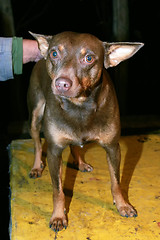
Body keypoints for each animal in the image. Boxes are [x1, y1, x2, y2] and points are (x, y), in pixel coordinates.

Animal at [27, 31, 144, 232]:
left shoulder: (113, 148)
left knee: (75, 145)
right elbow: (57, 190)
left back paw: (81, 163)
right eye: (54, 54)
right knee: (37, 143)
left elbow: (116, 182)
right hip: (35, 114)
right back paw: (36, 166)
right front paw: (58, 217)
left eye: (88, 58)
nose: (61, 84)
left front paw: (123, 205)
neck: (79, 107)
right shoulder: (54, 151)